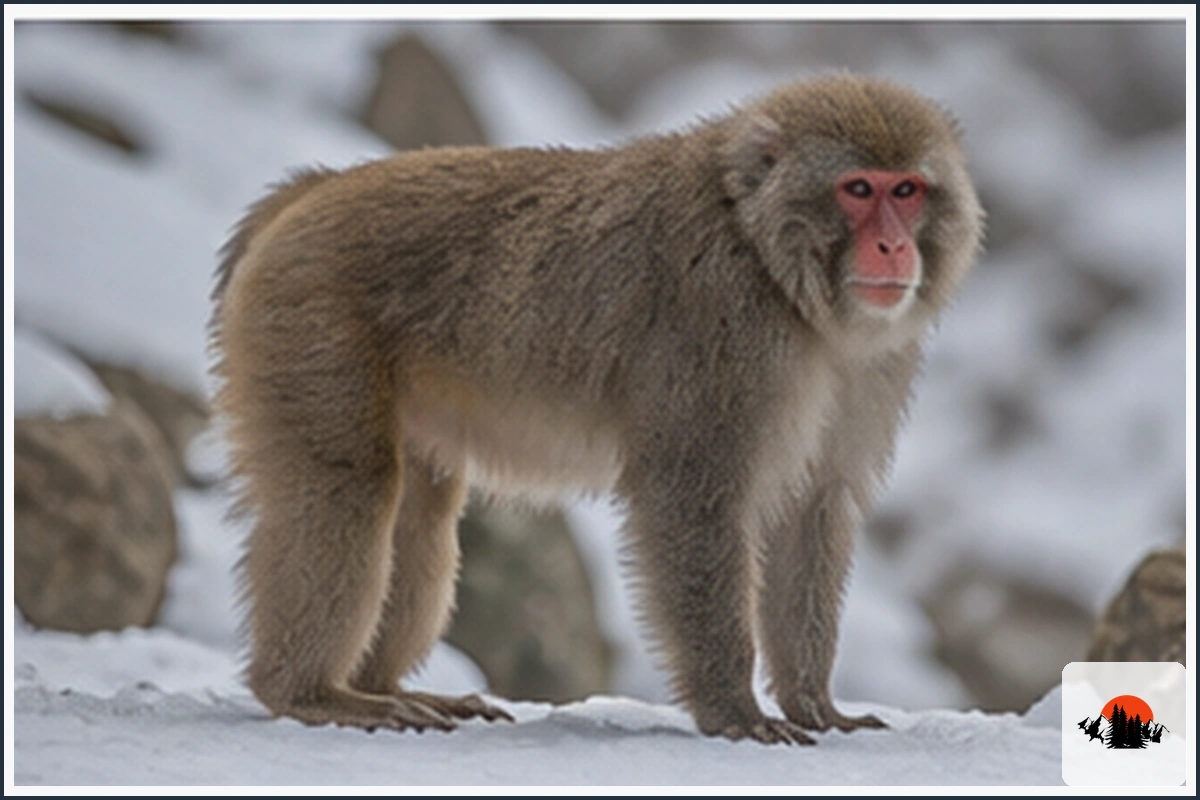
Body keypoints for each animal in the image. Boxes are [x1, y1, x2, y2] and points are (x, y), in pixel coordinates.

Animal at [210, 73, 984, 745]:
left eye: (907, 190)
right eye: (858, 190)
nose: (893, 246)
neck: (772, 265)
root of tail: (313, 189)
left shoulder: (869, 365)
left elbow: (814, 505)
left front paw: (816, 705)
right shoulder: (724, 328)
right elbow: (692, 496)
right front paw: (734, 711)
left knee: (420, 510)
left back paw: (383, 686)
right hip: (312, 318)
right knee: (351, 484)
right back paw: (310, 692)